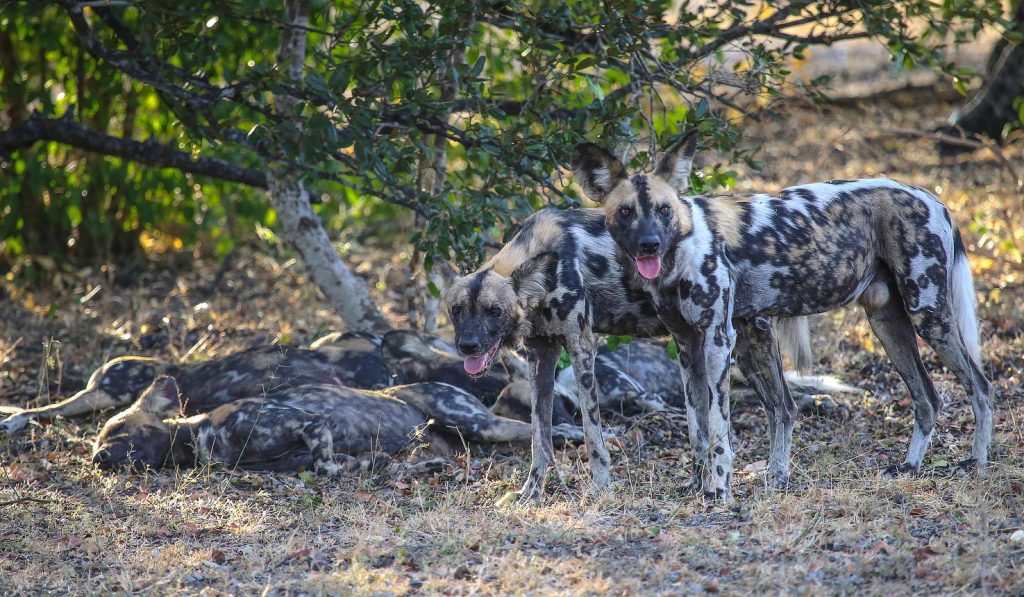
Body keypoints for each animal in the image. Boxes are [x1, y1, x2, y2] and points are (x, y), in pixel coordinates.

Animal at [436, 204, 811, 499]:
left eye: (493, 311)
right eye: (457, 310)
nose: (467, 345)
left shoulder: (581, 346)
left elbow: (592, 435)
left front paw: (600, 488)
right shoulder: (541, 355)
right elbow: (539, 436)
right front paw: (532, 491)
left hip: (737, 342)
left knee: (782, 407)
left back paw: (770, 478)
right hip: (744, 352)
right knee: (784, 408)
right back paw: (775, 477)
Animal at [573, 132, 987, 499]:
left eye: (663, 210)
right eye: (626, 212)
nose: (649, 244)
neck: (680, 252)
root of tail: (931, 197)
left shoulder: (717, 342)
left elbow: (718, 428)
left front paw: (718, 490)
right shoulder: (687, 346)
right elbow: (697, 428)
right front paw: (695, 486)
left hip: (927, 313)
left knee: (980, 386)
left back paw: (977, 462)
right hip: (886, 325)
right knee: (927, 399)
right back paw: (909, 466)